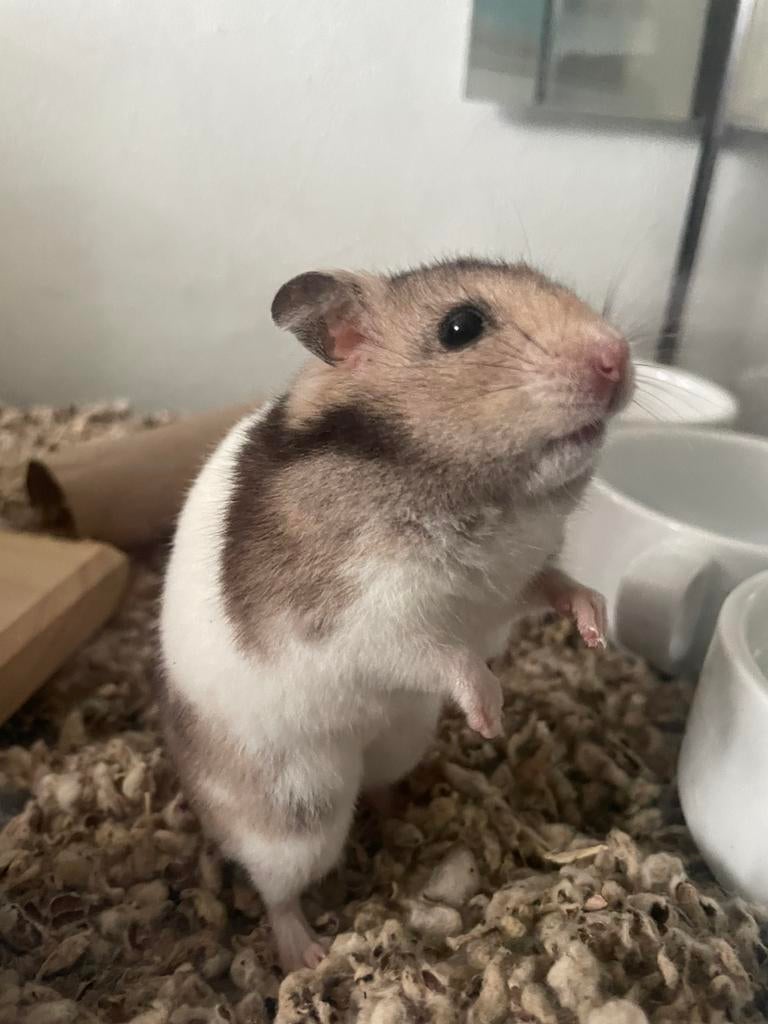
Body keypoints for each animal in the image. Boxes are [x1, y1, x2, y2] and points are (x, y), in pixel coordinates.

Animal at [159, 258, 633, 972]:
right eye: (461, 327)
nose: (619, 357)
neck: (485, 497)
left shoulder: (509, 587)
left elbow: (558, 586)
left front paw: (596, 630)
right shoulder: (364, 624)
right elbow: (442, 657)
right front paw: (492, 716)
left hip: (400, 739)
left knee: (379, 788)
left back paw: (409, 811)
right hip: (296, 812)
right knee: (276, 889)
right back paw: (307, 957)